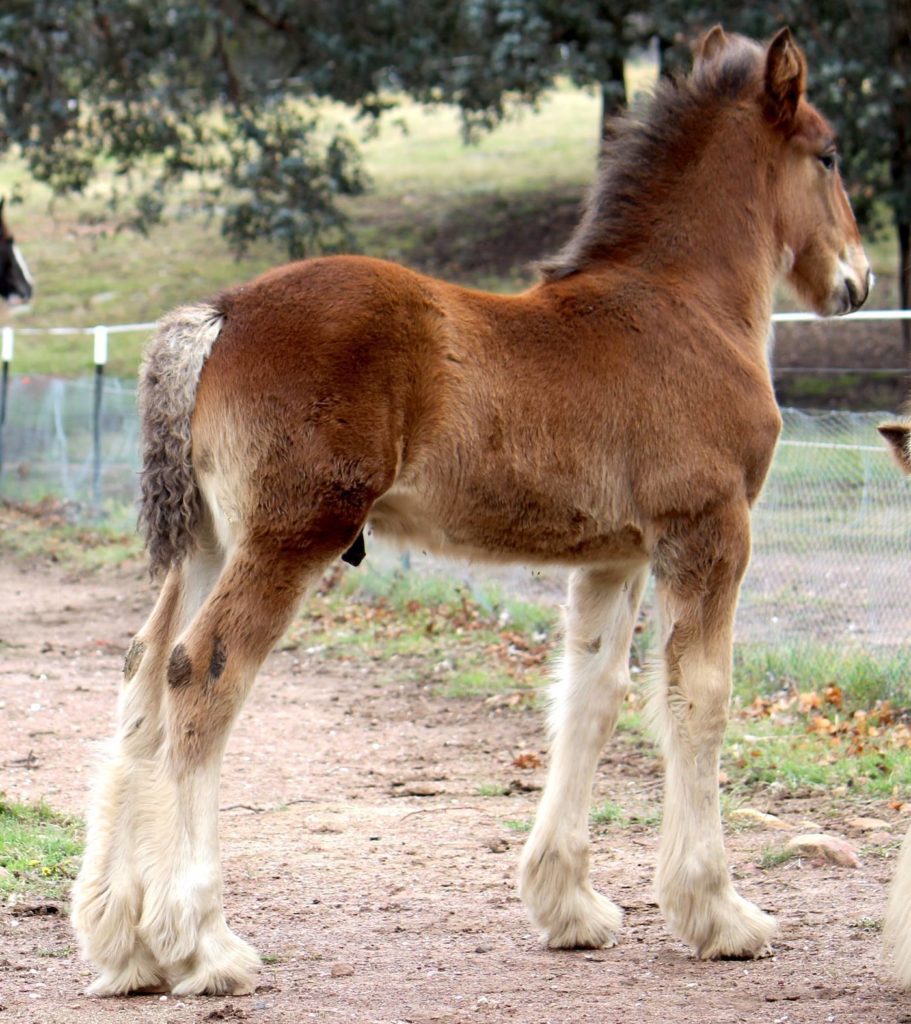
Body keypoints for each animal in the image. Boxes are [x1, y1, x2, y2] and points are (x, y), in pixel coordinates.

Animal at [74, 28, 868, 995]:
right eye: (828, 156)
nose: (858, 280)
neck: (681, 308)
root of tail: (219, 313)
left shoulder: (613, 556)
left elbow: (590, 699)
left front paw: (570, 908)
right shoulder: (706, 532)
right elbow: (700, 700)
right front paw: (720, 914)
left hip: (207, 542)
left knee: (143, 676)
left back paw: (125, 945)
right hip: (291, 534)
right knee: (202, 672)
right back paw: (206, 945)